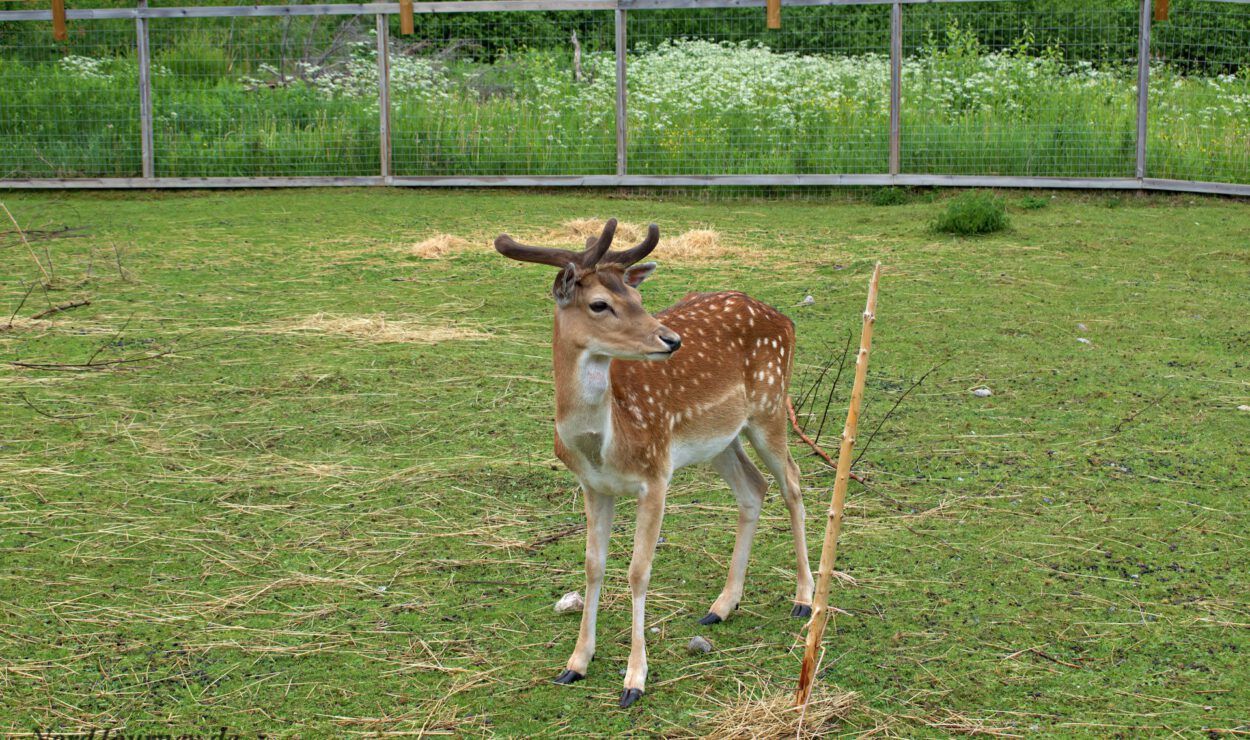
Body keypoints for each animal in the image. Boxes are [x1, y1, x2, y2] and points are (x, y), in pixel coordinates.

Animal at [492, 218, 815, 705]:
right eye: (600, 303)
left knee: (792, 482)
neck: (604, 441)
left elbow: (638, 572)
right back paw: (721, 606)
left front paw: (634, 679)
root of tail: (787, 319)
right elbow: (593, 566)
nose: (671, 339)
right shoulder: (593, 486)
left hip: (771, 405)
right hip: (718, 440)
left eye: (638, 298)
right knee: (753, 487)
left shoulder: (657, 474)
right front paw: (575, 663)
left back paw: (804, 599)